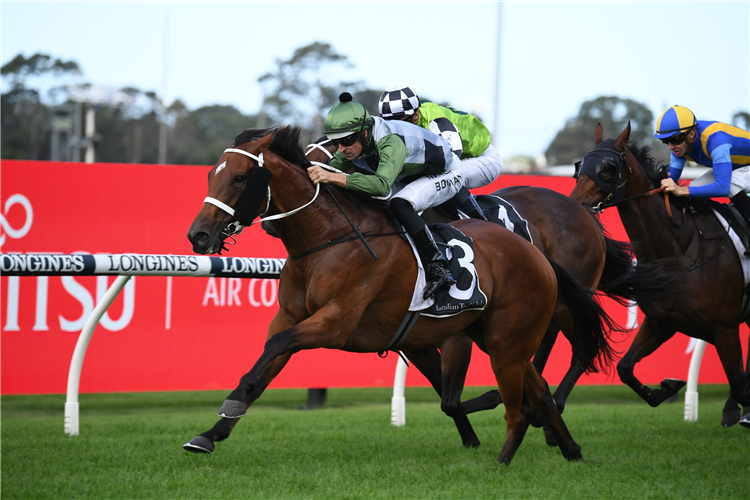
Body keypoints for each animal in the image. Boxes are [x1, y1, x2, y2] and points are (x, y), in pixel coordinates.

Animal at [184, 126, 616, 464]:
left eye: (240, 178)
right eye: (210, 176)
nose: (198, 236)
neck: (326, 237)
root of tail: (536, 252)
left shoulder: (336, 322)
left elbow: (276, 347)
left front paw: (229, 405)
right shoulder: (293, 317)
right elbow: (266, 363)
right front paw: (210, 433)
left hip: (509, 331)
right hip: (493, 334)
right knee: (538, 388)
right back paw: (570, 448)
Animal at [572, 121, 748, 426]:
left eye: (607, 168)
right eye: (580, 165)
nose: (574, 205)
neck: (680, 250)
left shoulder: (725, 329)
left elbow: (740, 387)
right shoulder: (661, 322)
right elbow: (625, 368)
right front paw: (666, 388)